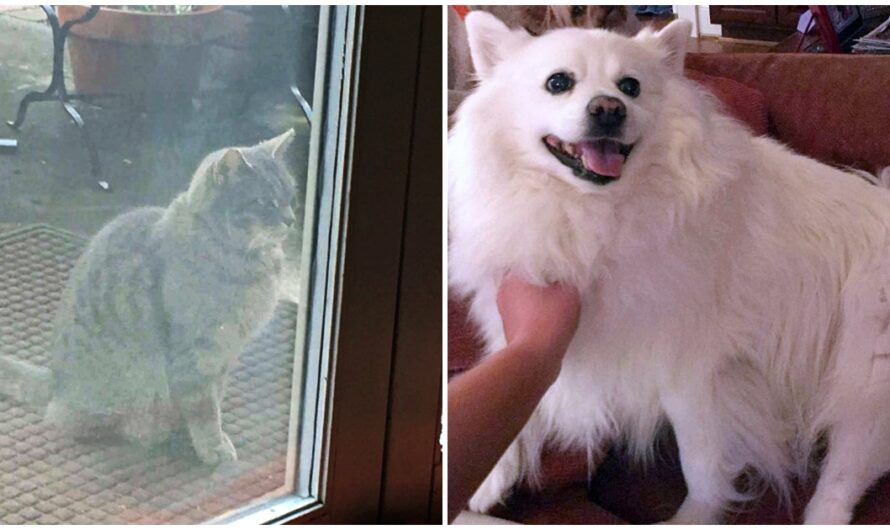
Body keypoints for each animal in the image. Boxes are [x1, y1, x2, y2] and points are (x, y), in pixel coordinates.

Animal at [0, 129, 298, 462]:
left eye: (289, 196)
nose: (291, 219)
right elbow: (204, 409)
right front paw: (213, 447)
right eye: (263, 202)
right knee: (73, 421)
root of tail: (55, 381)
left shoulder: (224, 355)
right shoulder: (196, 354)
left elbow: (214, 398)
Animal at [450, 10, 890, 520]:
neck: (593, 211)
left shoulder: (694, 372)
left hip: (864, 368)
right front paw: (489, 474)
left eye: (630, 86)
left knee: (846, 471)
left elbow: (701, 465)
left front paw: (694, 518)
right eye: (558, 83)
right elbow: (520, 385)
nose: (608, 109)